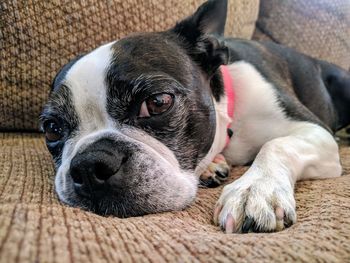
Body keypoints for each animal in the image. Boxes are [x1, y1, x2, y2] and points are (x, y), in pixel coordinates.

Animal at [41, 0, 350, 235]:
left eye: (157, 103)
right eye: (52, 129)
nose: (89, 165)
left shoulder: (316, 131)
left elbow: (276, 144)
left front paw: (254, 190)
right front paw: (216, 166)